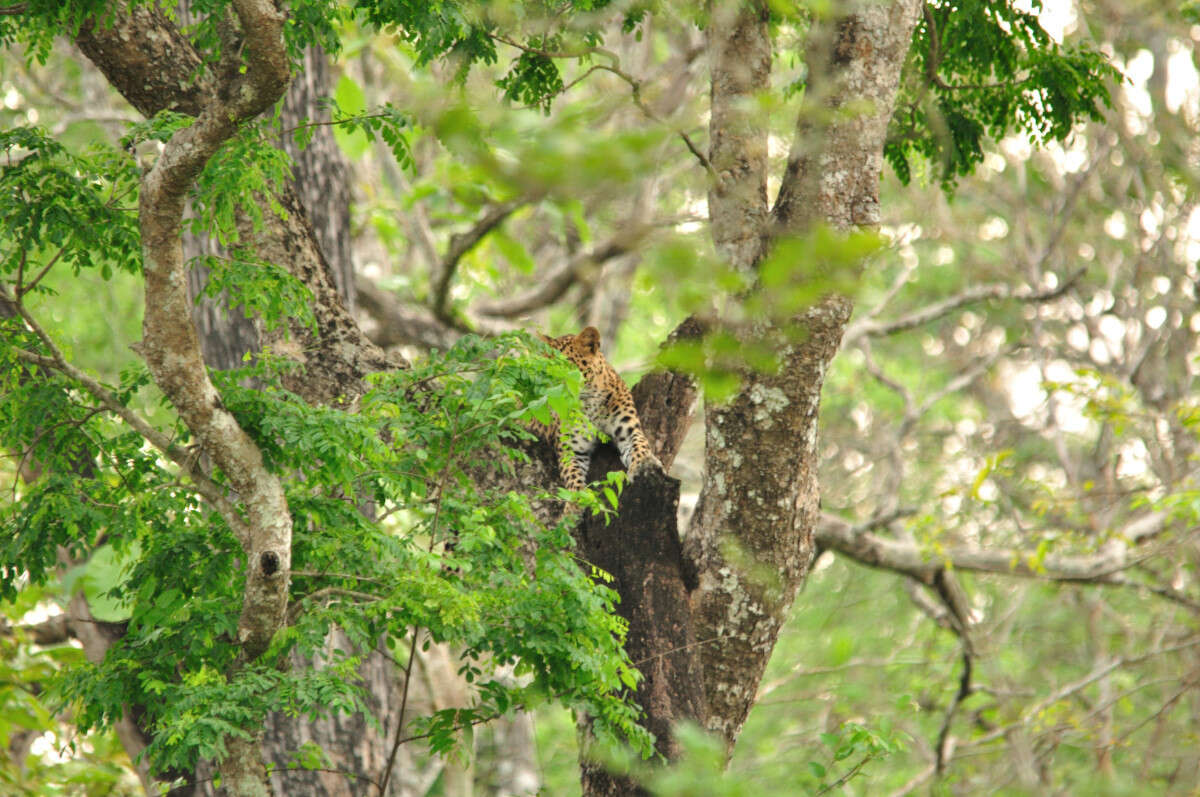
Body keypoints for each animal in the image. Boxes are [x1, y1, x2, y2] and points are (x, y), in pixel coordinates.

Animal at [537, 326, 662, 492]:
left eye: (565, 365)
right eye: (544, 367)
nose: (546, 390)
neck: (590, 403)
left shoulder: (628, 431)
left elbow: (639, 444)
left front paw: (642, 464)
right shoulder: (571, 448)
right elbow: (572, 475)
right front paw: (579, 497)